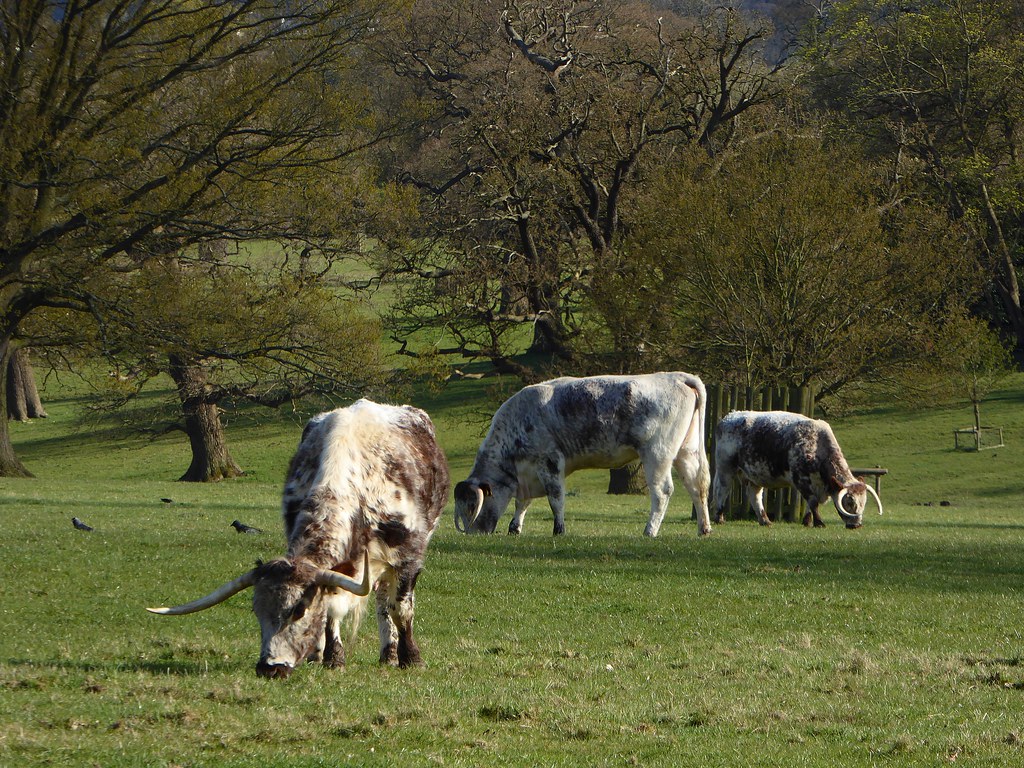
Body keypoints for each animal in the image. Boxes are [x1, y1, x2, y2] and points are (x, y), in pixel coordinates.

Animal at [148, 399, 450, 679]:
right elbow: (330, 610)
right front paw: (333, 657)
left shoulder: (408, 557)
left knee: (385, 601)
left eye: (298, 611)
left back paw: (391, 654)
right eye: (257, 611)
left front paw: (412, 658)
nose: (270, 668)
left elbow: (401, 609)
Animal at [453, 372, 712, 538]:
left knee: (663, 491)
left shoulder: (549, 461)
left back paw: (650, 530)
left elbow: (556, 498)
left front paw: (559, 530)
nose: (473, 534)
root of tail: (675, 376)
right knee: (697, 486)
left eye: (471, 507)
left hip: (657, 453)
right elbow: (522, 503)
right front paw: (515, 528)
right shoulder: (528, 474)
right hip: (687, 451)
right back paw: (704, 529)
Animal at [711, 410, 883, 529]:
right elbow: (813, 502)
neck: (818, 444)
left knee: (754, 496)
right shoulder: (801, 480)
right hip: (725, 469)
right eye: (849, 502)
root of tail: (730, 416)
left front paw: (807, 521)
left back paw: (765, 520)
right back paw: (719, 518)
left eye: (864, 502)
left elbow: (809, 504)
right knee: (722, 490)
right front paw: (819, 523)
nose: (857, 525)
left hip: (754, 475)